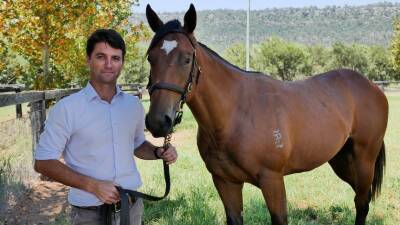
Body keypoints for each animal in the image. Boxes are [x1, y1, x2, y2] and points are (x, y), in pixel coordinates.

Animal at [143, 3, 388, 225]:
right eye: (150, 58)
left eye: (186, 58)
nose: (157, 122)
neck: (235, 115)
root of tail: (371, 86)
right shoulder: (225, 182)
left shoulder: (272, 181)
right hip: (341, 161)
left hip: (364, 159)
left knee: (361, 202)